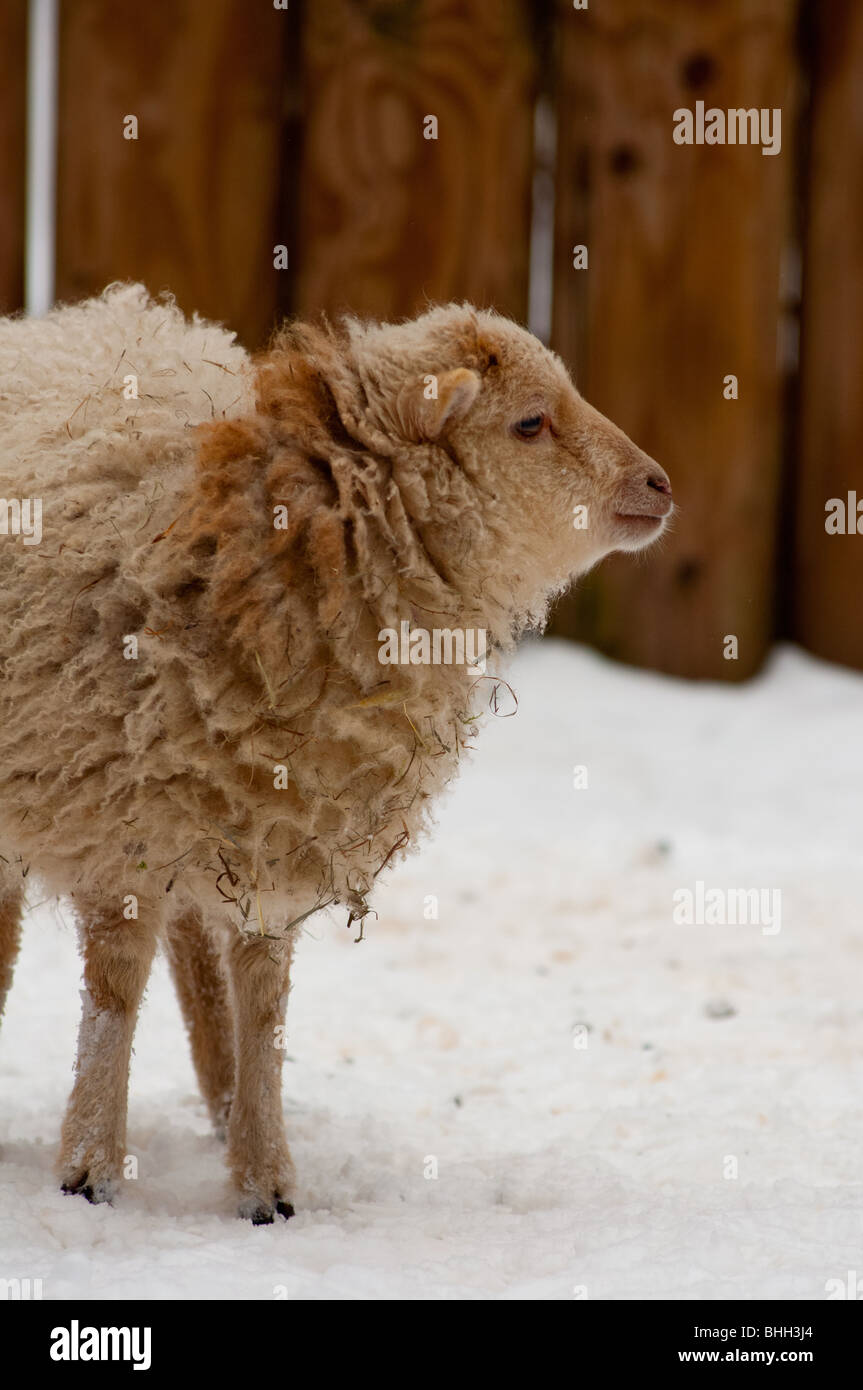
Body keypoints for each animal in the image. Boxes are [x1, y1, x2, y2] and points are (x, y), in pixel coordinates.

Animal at [0, 282, 669, 1217]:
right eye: (530, 423)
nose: (659, 485)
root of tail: (57, 325)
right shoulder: (116, 817)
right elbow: (114, 990)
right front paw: (90, 1166)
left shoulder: (275, 820)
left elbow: (263, 996)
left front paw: (264, 1178)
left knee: (194, 944)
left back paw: (220, 1098)